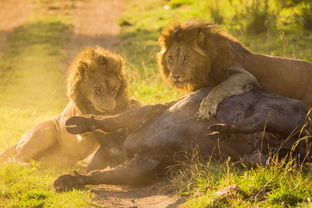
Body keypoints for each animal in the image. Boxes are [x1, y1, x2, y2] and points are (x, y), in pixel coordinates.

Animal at [0, 46, 140, 167]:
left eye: (114, 90)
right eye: (98, 90)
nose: (108, 108)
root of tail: (18, 142)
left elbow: (130, 104)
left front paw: (134, 107)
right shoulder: (78, 122)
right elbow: (93, 118)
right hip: (47, 130)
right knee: (14, 159)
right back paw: (28, 165)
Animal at [157, 19, 312, 120]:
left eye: (186, 58)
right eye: (171, 58)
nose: (175, 76)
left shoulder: (245, 76)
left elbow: (218, 88)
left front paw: (205, 110)